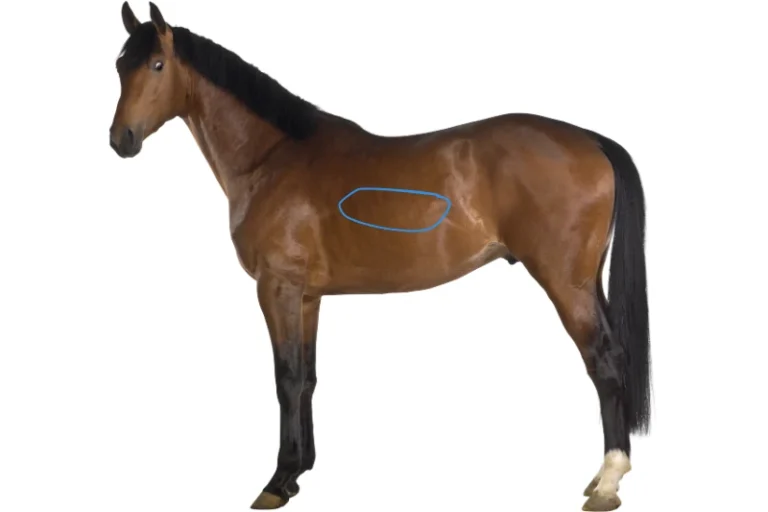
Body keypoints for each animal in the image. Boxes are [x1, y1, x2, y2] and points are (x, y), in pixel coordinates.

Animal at [109, 3, 651, 511]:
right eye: (119, 64)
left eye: (157, 64)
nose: (121, 140)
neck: (272, 158)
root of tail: (591, 140)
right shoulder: (307, 297)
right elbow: (307, 378)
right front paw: (300, 471)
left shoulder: (276, 288)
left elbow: (286, 379)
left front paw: (277, 482)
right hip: (587, 282)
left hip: (566, 284)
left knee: (603, 361)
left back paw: (607, 482)